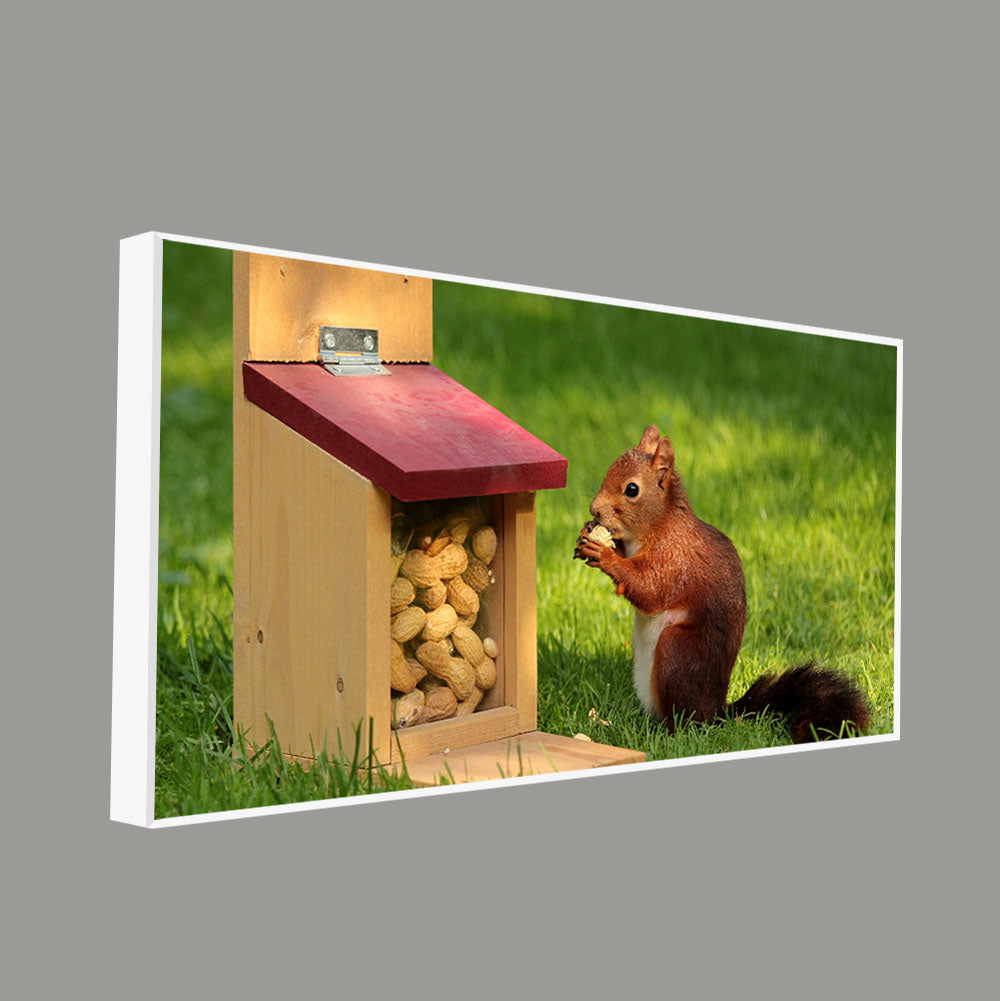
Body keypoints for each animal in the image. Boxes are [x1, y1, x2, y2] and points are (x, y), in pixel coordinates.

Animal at [573, 424, 869, 743]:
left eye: (632, 489)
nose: (594, 510)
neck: (658, 525)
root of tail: (716, 712)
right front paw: (589, 535)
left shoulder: (675, 559)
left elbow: (649, 589)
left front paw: (603, 554)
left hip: (677, 653)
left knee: (686, 721)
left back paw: (669, 735)